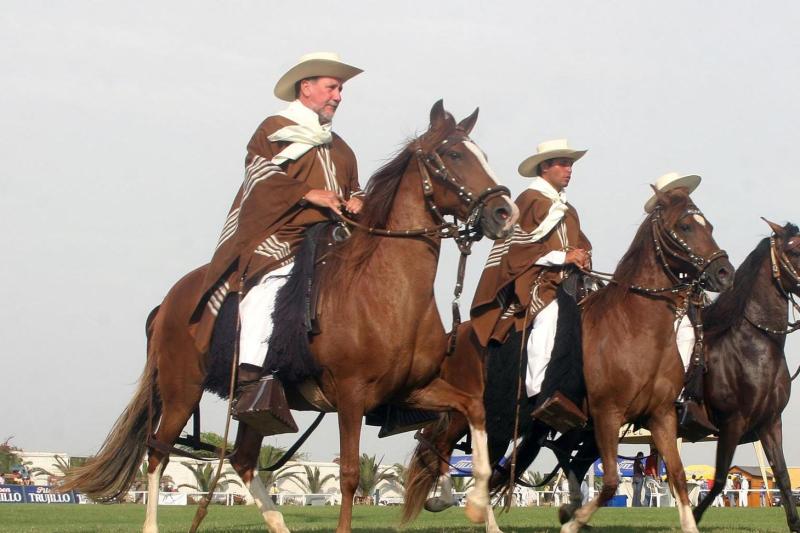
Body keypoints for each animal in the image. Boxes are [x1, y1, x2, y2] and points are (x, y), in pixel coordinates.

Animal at [60, 100, 519, 533]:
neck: (385, 291)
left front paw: (477, 505)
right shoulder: (351, 396)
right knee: (157, 452)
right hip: (180, 392)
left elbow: (472, 412)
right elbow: (349, 476)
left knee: (243, 459)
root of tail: (169, 302)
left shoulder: (411, 390)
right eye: (453, 154)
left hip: (257, 408)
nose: (505, 213)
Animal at [402, 187, 734, 533]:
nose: (724, 272)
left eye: (708, 225)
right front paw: (572, 523)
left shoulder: (661, 415)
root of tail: (455, 337)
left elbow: (678, 476)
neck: (634, 328)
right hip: (470, 414)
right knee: (442, 447)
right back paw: (460, 507)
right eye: (685, 226)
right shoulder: (607, 414)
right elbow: (611, 481)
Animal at [692, 219, 800, 532]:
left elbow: (783, 478)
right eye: (795, 250)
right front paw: (691, 517)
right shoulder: (732, 423)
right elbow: (718, 481)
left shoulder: (770, 423)